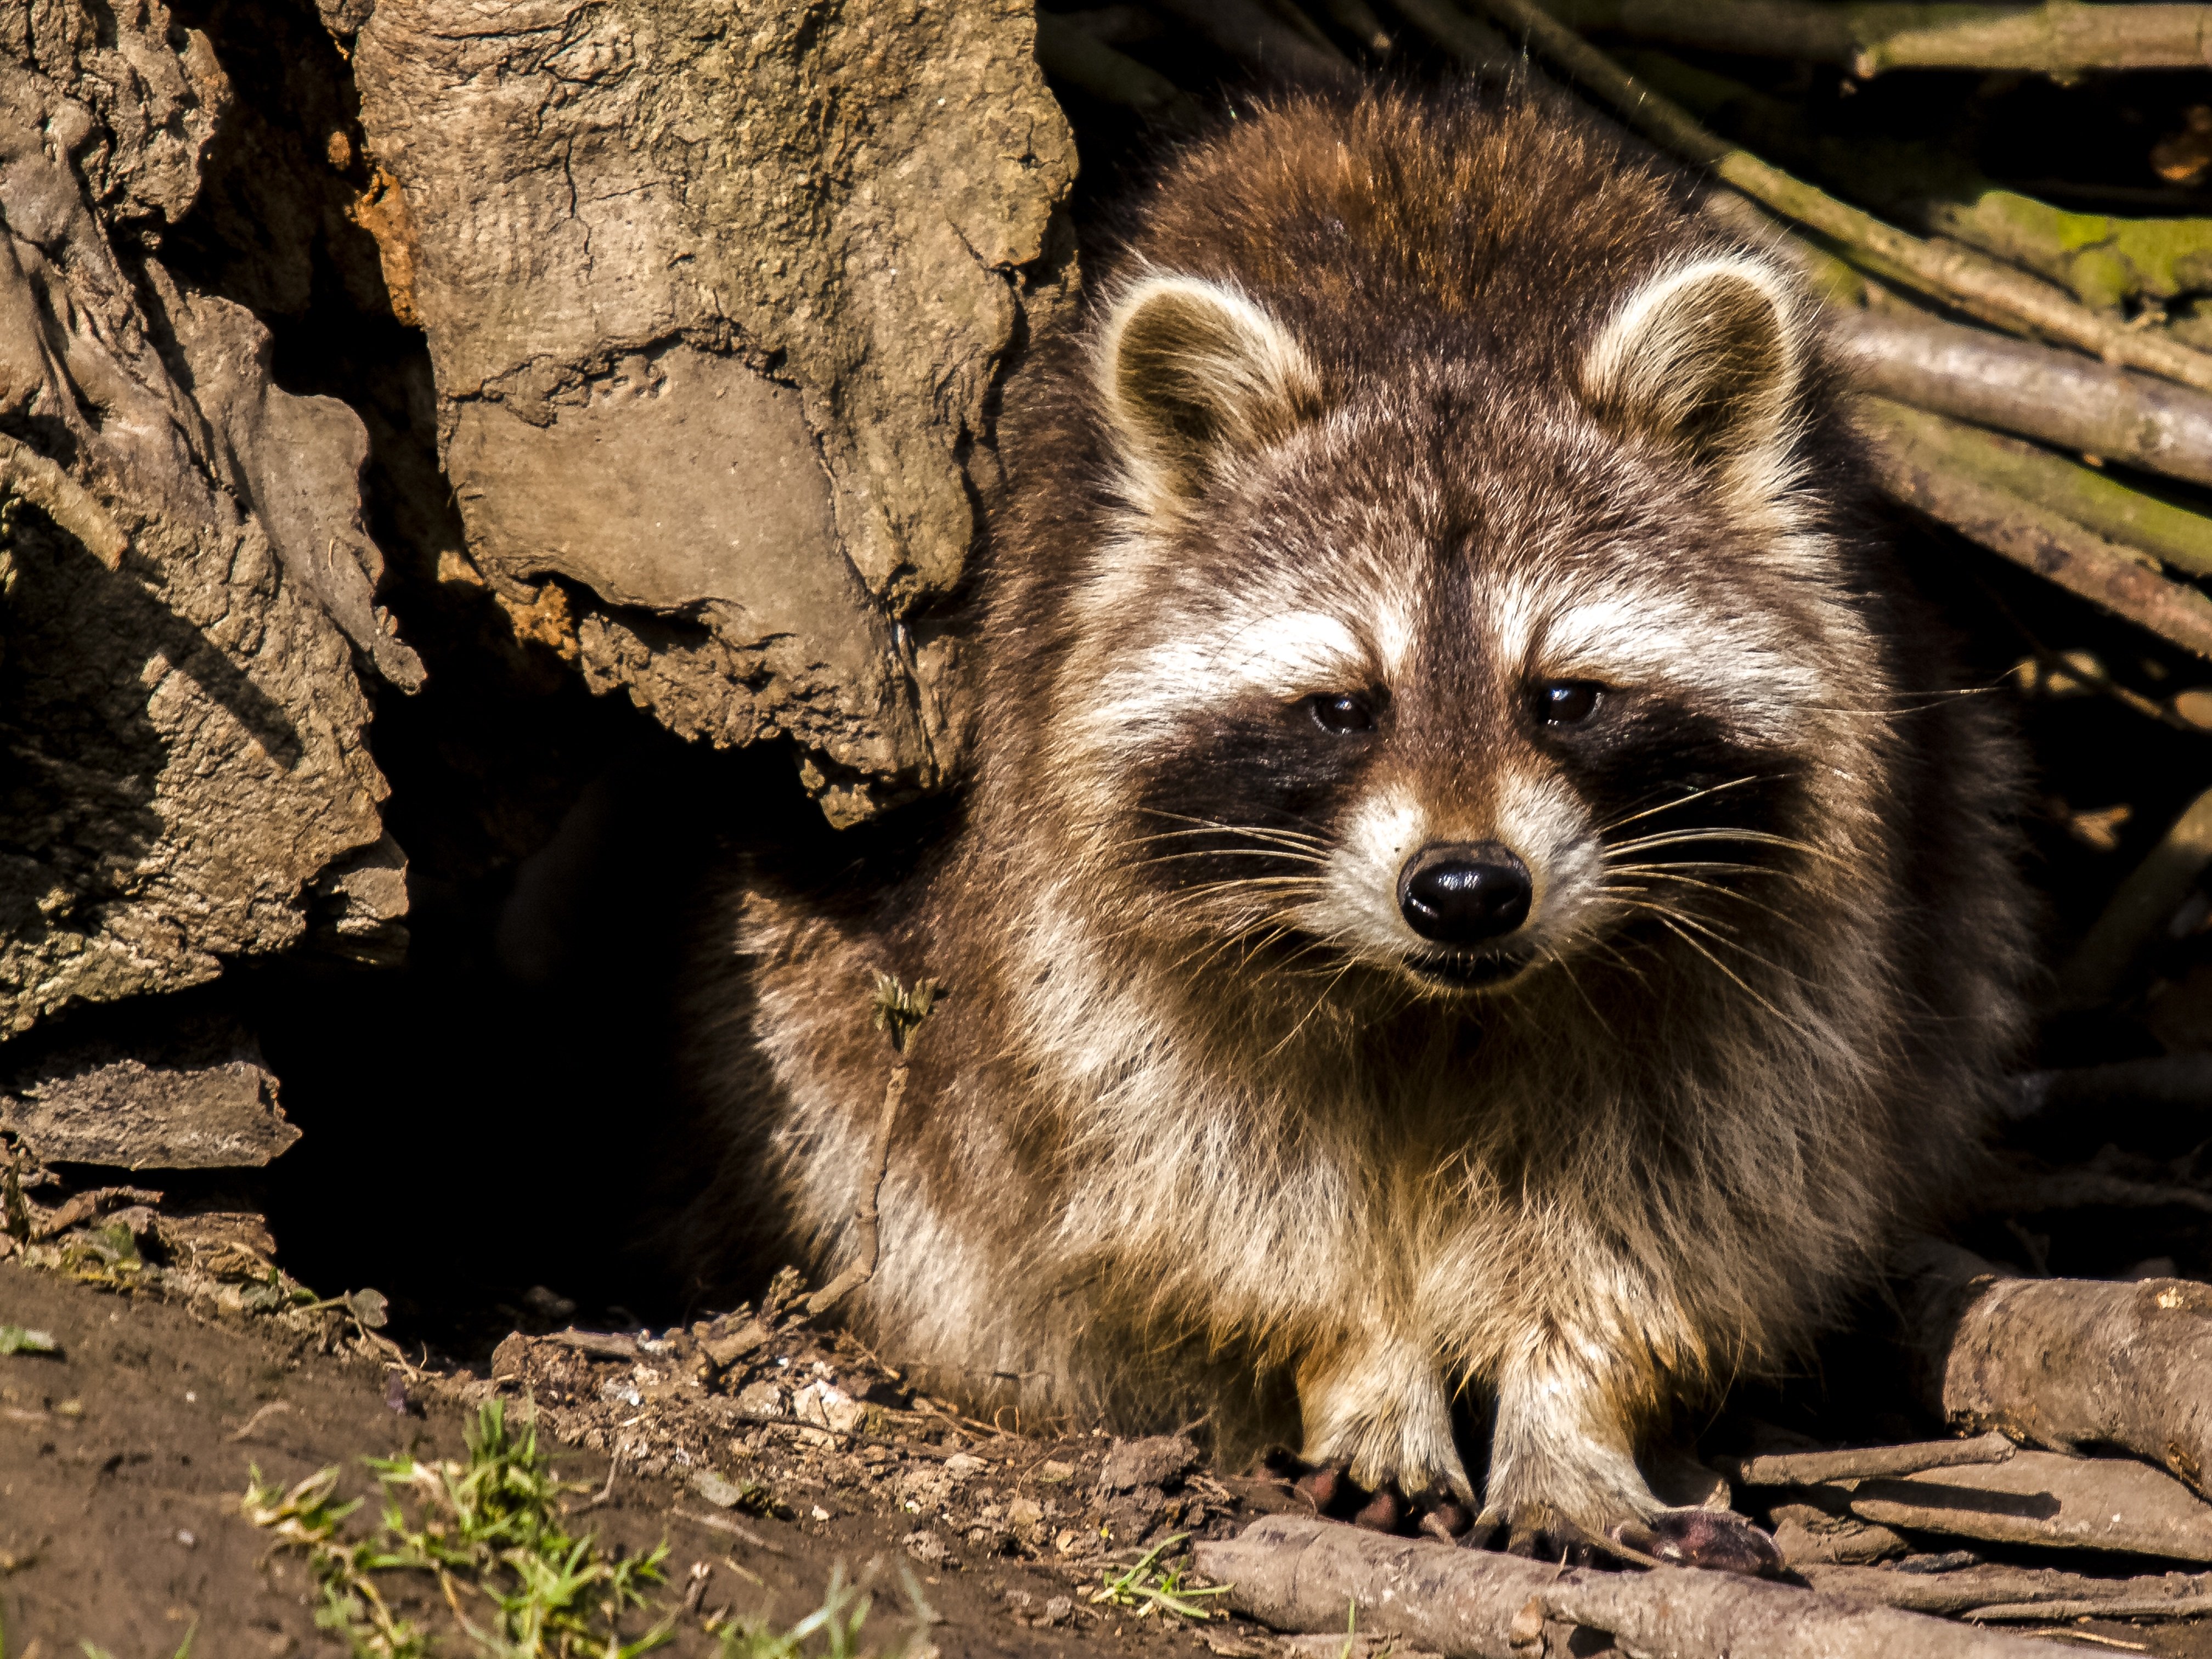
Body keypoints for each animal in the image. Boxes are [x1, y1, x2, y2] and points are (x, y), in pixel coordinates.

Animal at [681, 84, 2026, 1566]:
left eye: (1566, 698)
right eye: (1342, 708)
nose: (1466, 890)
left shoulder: (1780, 952)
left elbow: (1685, 1182)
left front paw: (1574, 1411)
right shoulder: (1082, 929)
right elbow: (1213, 1176)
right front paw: (1365, 1367)